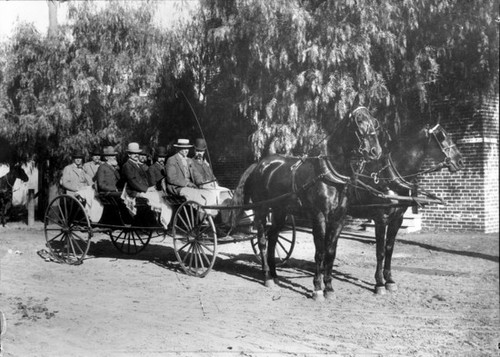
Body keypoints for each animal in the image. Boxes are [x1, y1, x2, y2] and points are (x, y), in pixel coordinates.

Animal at [233, 106, 382, 300]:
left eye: (374, 121)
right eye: (359, 121)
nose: (375, 151)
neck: (330, 174)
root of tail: (259, 165)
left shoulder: (339, 219)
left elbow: (330, 252)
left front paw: (329, 288)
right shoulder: (319, 217)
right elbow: (319, 252)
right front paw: (317, 288)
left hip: (280, 211)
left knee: (273, 238)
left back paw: (275, 274)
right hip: (261, 209)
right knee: (262, 241)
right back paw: (267, 277)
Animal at [348, 124, 464, 294]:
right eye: (442, 136)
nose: (460, 161)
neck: (388, 177)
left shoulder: (397, 220)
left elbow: (389, 248)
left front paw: (389, 280)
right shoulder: (380, 220)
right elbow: (380, 251)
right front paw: (379, 283)